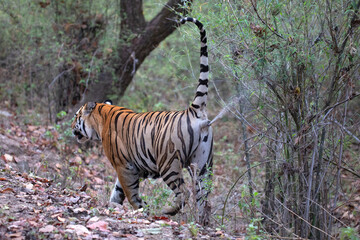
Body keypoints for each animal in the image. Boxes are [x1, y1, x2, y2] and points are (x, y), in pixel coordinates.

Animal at [71, 16, 212, 223]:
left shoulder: (124, 166)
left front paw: (140, 209)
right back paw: (203, 223)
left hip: (169, 164)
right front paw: (113, 207)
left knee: (184, 193)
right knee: (204, 198)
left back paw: (167, 211)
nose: (71, 126)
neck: (102, 116)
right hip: (202, 166)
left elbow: (130, 192)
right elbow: (117, 191)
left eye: (76, 116)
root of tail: (193, 110)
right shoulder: (134, 166)